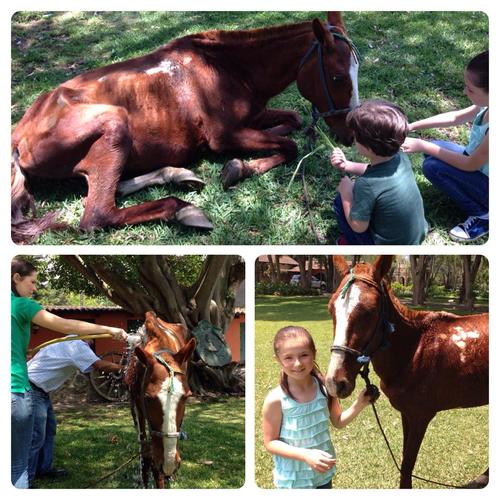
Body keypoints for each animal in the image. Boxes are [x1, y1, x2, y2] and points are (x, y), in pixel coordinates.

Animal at [9, 12, 358, 243]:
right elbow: (289, 146)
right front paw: (238, 167)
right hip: (114, 125)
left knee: (114, 188)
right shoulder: (225, 136)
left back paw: (176, 176)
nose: (349, 134)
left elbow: (292, 122)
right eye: (338, 76)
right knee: (97, 215)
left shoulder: (255, 116)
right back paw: (184, 209)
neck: (227, 68)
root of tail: (17, 137)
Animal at [324, 258, 488, 488]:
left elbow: (407, 466)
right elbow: (404, 463)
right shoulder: (406, 414)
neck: (413, 350)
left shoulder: (421, 417)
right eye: (331, 309)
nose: (335, 382)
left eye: (369, 312)